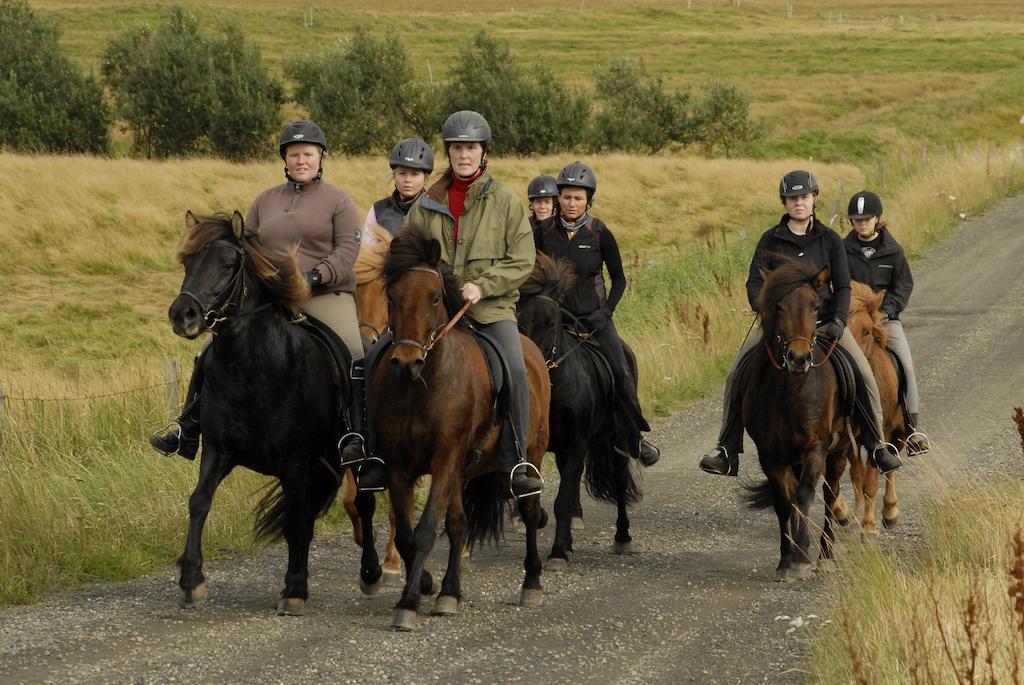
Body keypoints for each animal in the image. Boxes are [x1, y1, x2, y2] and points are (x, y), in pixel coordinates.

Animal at [167, 211, 380, 614]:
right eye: (187, 264)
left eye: (228, 265)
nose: (182, 315)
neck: (251, 369)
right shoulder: (217, 451)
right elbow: (199, 501)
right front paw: (191, 580)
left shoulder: (295, 460)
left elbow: (298, 518)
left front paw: (295, 588)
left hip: (353, 457)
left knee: (363, 502)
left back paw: (372, 574)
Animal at [360, 224, 552, 630]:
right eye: (392, 296)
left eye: (434, 298)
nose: (407, 362)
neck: (423, 386)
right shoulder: (399, 466)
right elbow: (408, 534)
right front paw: (424, 585)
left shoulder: (445, 459)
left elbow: (425, 530)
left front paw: (408, 605)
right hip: (462, 471)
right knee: (459, 524)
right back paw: (450, 592)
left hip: (532, 453)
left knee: (528, 509)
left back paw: (531, 583)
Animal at [520, 253, 638, 569]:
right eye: (520, 322)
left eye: (551, 322)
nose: (530, 365)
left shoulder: (575, 445)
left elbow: (562, 501)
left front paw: (558, 553)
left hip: (618, 439)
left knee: (619, 482)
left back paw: (622, 537)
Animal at [745, 259, 856, 581]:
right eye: (779, 306)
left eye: (816, 306)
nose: (798, 358)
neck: (789, 390)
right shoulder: (770, 455)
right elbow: (785, 502)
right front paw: (787, 559)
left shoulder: (815, 448)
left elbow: (806, 494)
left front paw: (803, 555)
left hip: (839, 451)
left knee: (830, 495)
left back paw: (825, 554)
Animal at [835, 280, 909, 532]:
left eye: (867, 331)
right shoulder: (846, 437)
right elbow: (853, 477)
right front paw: (849, 514)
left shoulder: (880, 432)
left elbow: (871, 481)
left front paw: (868, 526)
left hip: (899, 431)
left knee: (892, 465)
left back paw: (890, 511)